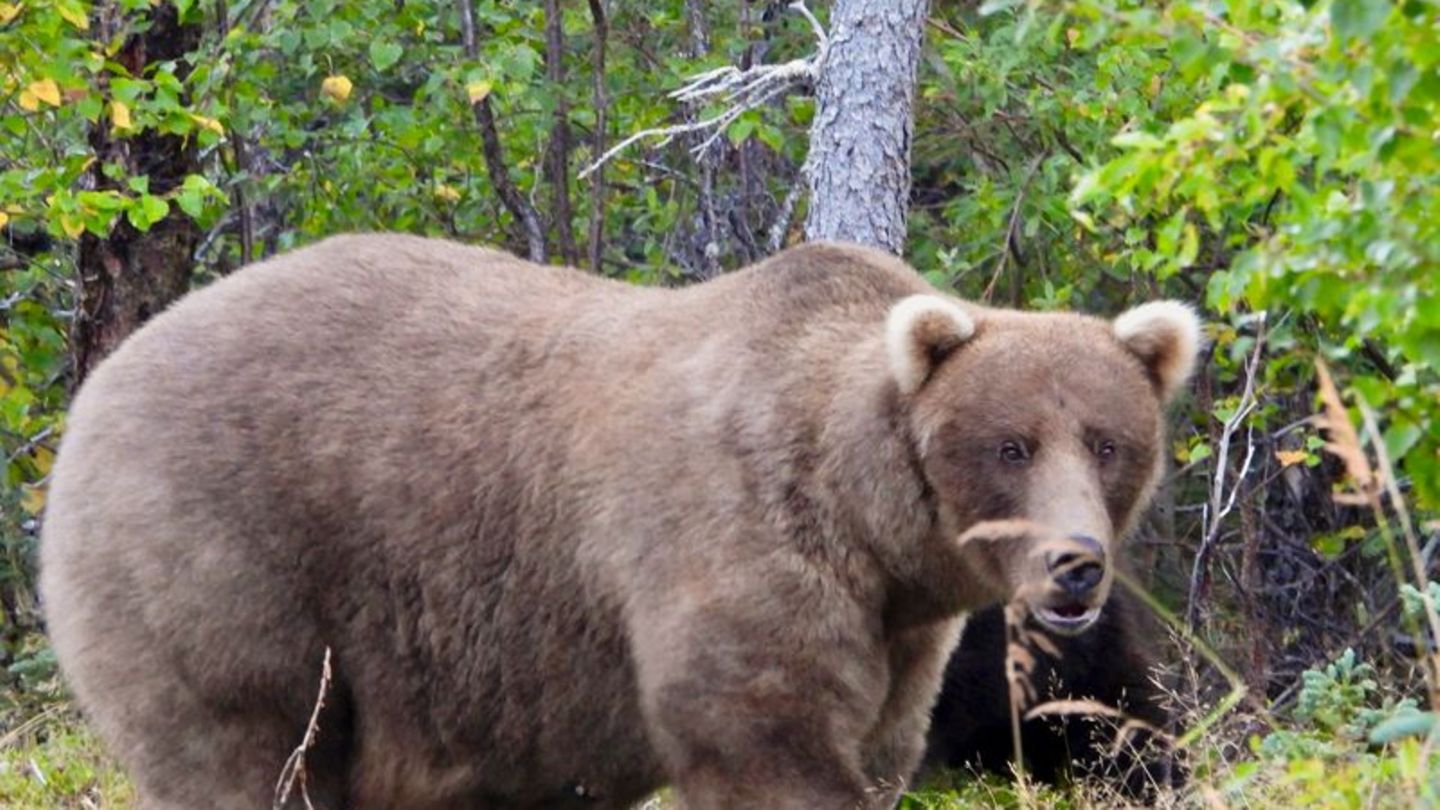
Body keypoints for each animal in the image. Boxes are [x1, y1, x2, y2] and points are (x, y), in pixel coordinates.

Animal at [39, 234, 1198, 807]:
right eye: (1010, 445)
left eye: (1107, 442)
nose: (1075, 566)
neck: (869, 524)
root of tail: (102, 378)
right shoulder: (736, 533)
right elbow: (762, 731)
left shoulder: (903, 631)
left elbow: (897, 741)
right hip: (226, 559)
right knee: (242, 750)